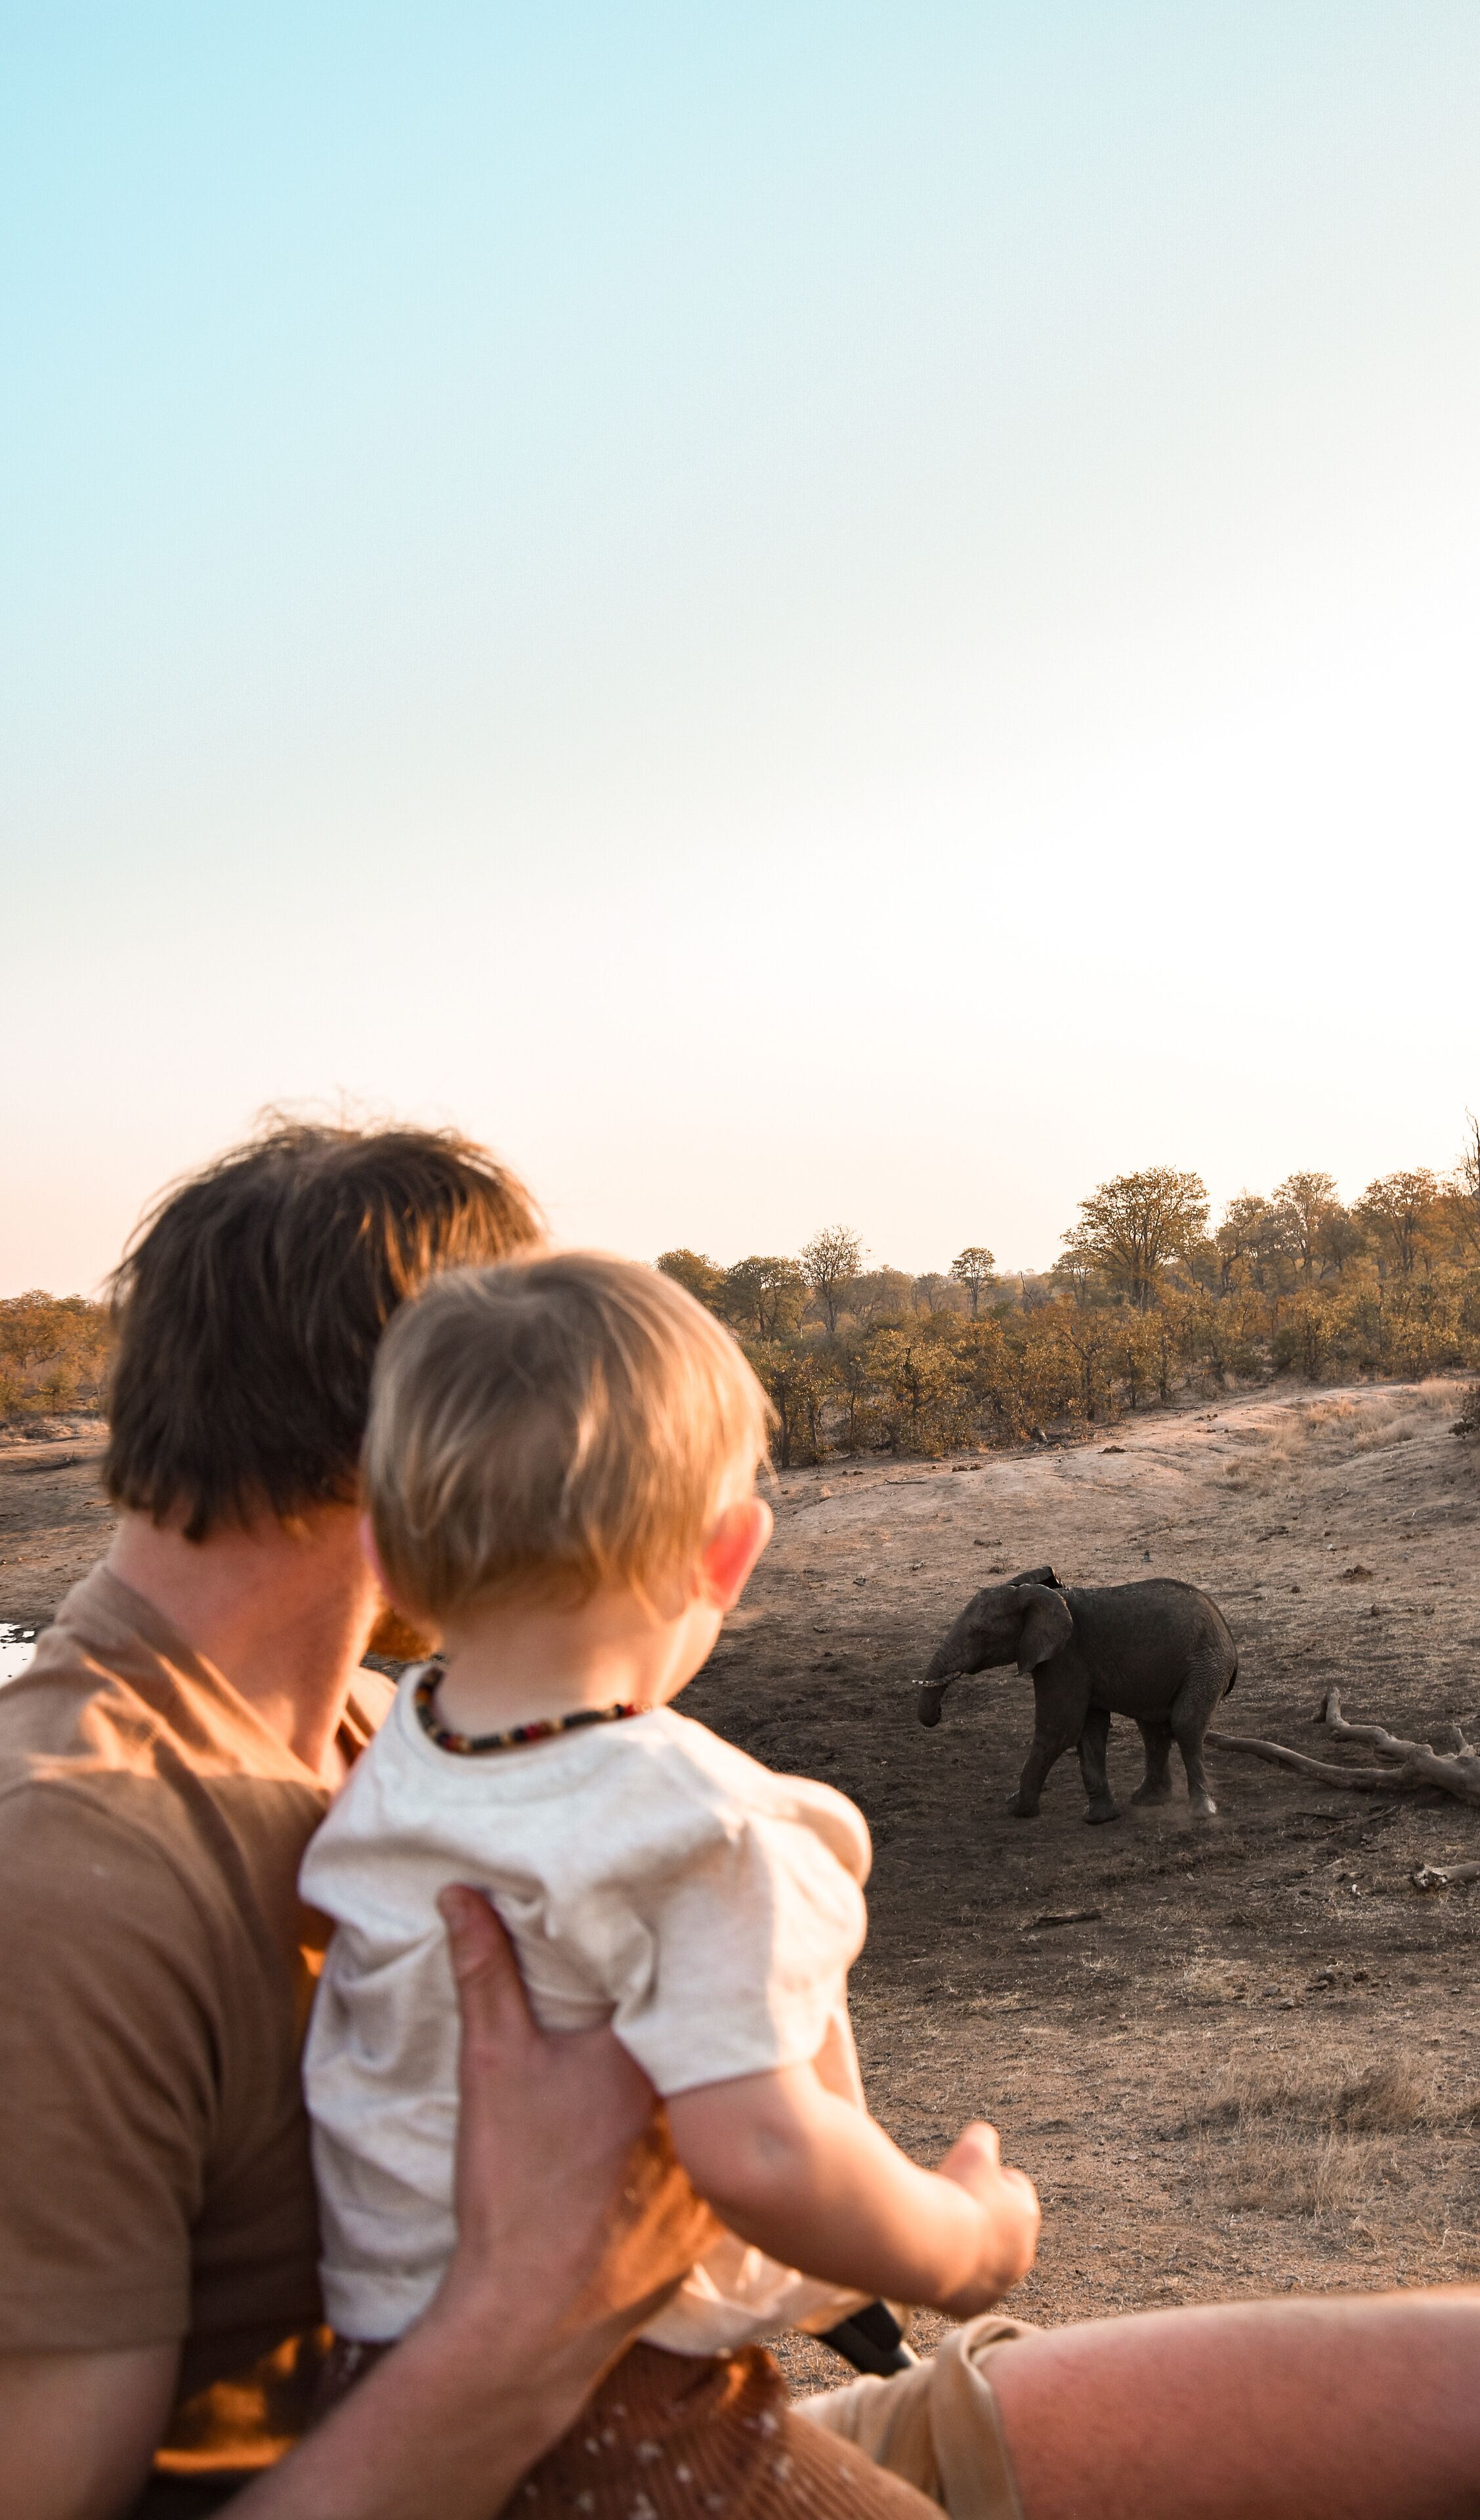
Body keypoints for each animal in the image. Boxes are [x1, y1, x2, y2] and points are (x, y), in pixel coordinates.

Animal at [914, 1564, 1237, 1823]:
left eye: (982, 1634)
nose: (939, 1713)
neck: (1040, 1595)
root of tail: (1226, 1631)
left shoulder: (1065, 1657)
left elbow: (1058, 1730)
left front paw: (1017, 1809)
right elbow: (1090, 1731)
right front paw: (1100, 1819)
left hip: (1207, 1662)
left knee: (1185, 1725)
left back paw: (1201, 1813)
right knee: (1153, 1728)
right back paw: (1148, 1800)